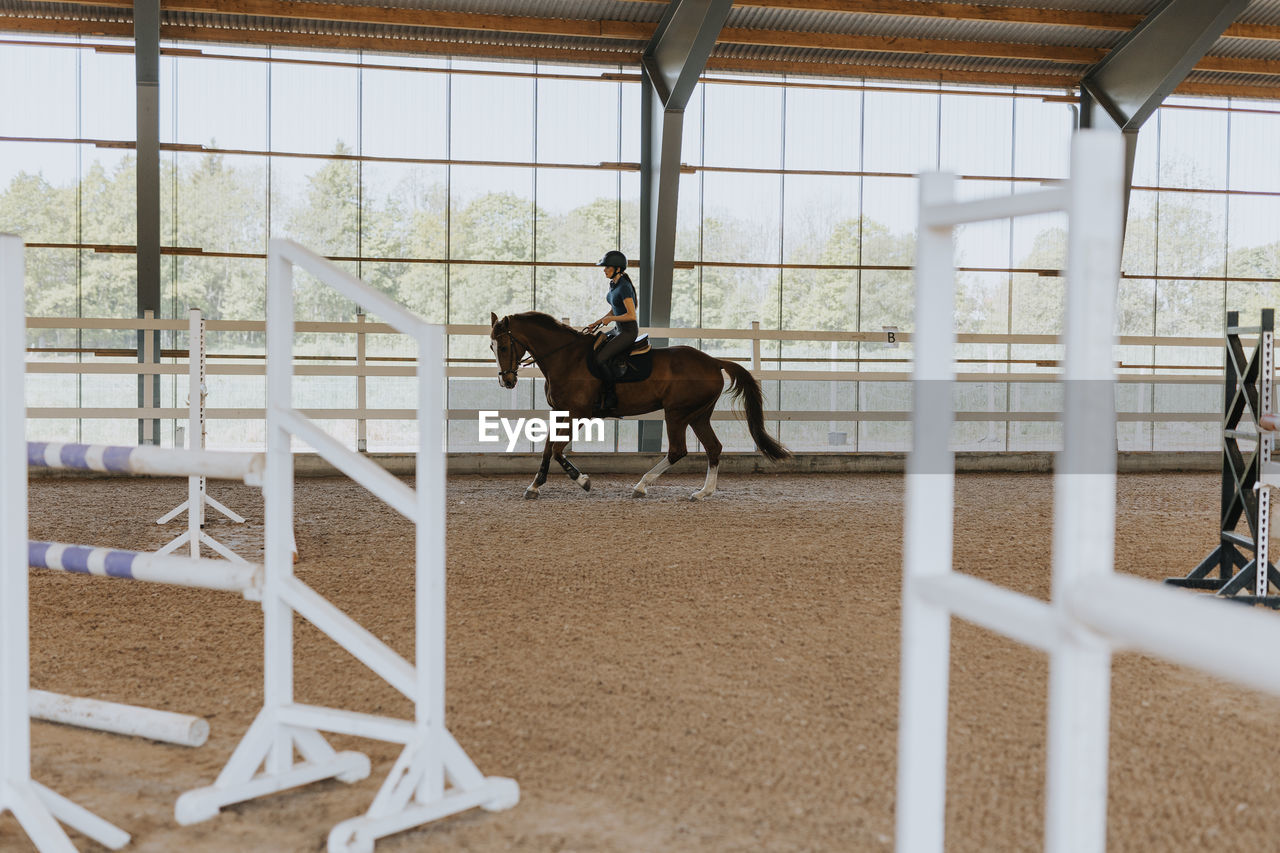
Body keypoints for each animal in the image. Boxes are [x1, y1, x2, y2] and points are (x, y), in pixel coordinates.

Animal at [488, 311, 788, 499]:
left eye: (502, 347)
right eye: (492, 348)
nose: (507, 381)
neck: (566, 357)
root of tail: (714, 362)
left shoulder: (578, 414)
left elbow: (558, 450)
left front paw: (583, 481)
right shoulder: (561, 412)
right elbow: (548, 448)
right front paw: (534, 486)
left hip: (677, 414)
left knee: (678, 450)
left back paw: (642, 485)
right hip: (698, 415)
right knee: (713, 448)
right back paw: (703, 492)